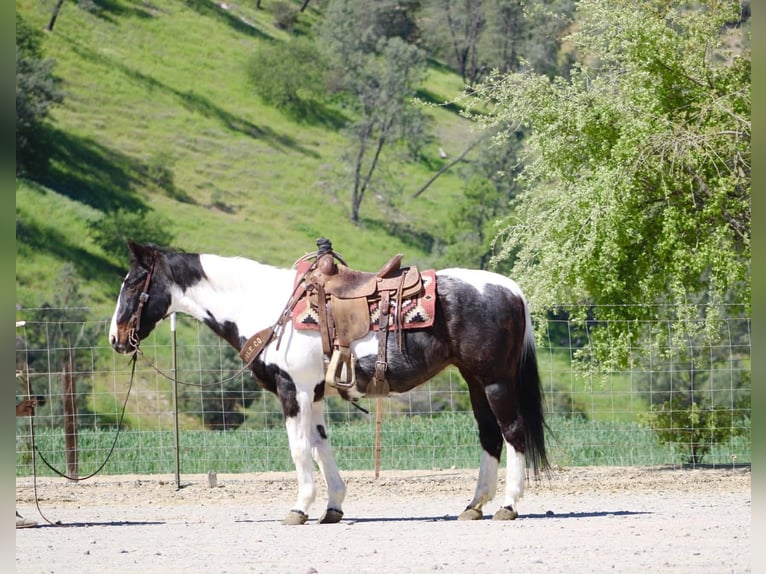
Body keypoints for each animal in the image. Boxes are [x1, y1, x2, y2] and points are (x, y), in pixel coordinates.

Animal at [109, 240, 549, 524]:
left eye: (132, 283)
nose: (115, 338)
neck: (268, 308)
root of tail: (511, 289)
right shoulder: (315, 393)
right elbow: (321, 447)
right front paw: (332, 508)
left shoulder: (294, 391)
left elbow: (300, 449)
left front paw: (300, 508)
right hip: (474, 380)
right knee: (490, 436)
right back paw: (474, 506)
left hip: (495, 381)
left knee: (513, 432)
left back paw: (509, 505)